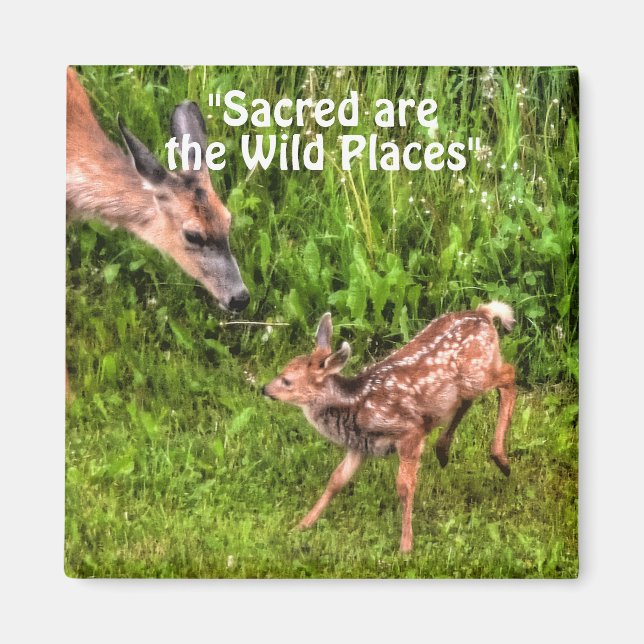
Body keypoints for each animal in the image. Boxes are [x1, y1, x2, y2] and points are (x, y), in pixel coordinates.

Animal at [262, 301, 516, 553]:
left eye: (287, 381)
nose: (264, 389)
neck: (356, 405)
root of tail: (483, 312)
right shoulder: (360, 445)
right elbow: (336, 480)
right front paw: (302, 524)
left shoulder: (409, 432)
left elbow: (404, 486)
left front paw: (405, 545)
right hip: (465, 384)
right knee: (468, 400)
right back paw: (444, 450)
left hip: (476, 373)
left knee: (509, 374)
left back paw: (501, 460)